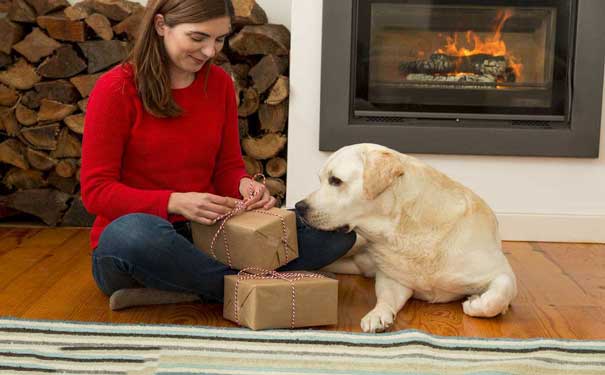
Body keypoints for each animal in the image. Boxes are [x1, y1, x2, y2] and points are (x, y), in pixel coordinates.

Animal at [294, 145, 516, 334]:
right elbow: (385, 298)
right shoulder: (394, 280)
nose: (298, 207)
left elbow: (496, 297)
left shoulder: (502, 272)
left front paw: (475, 303)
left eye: (335, 180)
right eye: (321, 179)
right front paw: (377, 315)